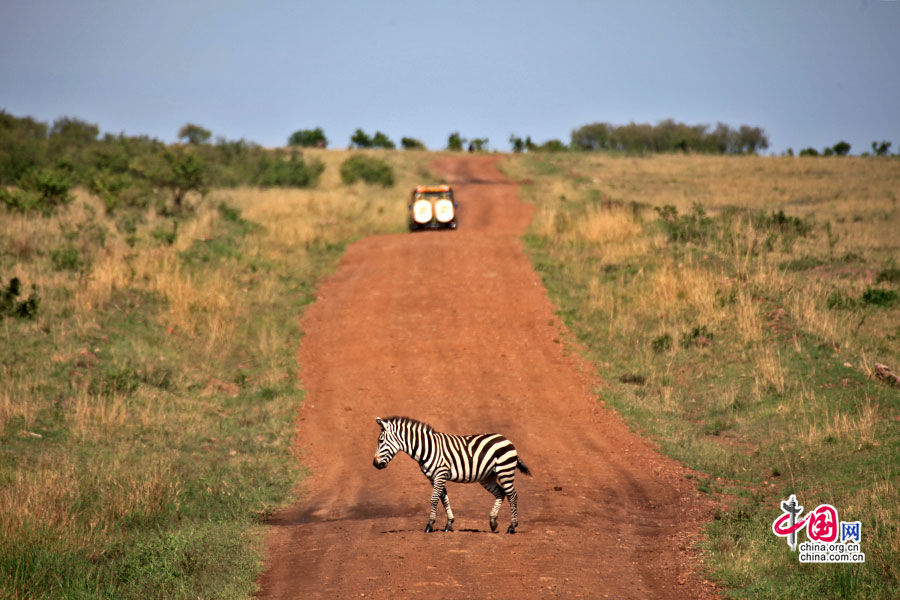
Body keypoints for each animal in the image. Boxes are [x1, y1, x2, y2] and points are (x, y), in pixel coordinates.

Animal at [370, 418, 532, 536]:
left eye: (381, 441)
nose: (375, 464)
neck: (427, 448)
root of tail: (506, 439)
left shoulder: (440, 474)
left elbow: (434, 499)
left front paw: (429, 525)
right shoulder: (434, 478)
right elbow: (444, 499)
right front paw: (449, 524)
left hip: (505, 470)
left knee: (512, 495)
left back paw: (512, 527)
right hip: (488, 477)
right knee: (500, 493)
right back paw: (493, 522)